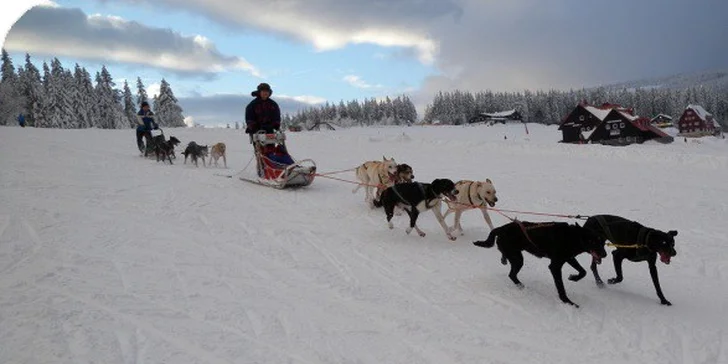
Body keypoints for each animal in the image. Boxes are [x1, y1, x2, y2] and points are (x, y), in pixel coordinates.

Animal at [472, 222, 608, 308]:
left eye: (602, 242)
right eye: (593, 242)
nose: (605, 254)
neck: (572, 237)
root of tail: (500, 228)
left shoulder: (569, 258)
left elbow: (583, 271)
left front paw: (573, 278)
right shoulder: (555, 266)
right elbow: (561, 287)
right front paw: (568, 302)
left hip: (514, 255)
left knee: (508, 267)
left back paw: (504, 260)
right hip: (518, 258)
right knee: (511, 275)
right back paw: (520, 286)